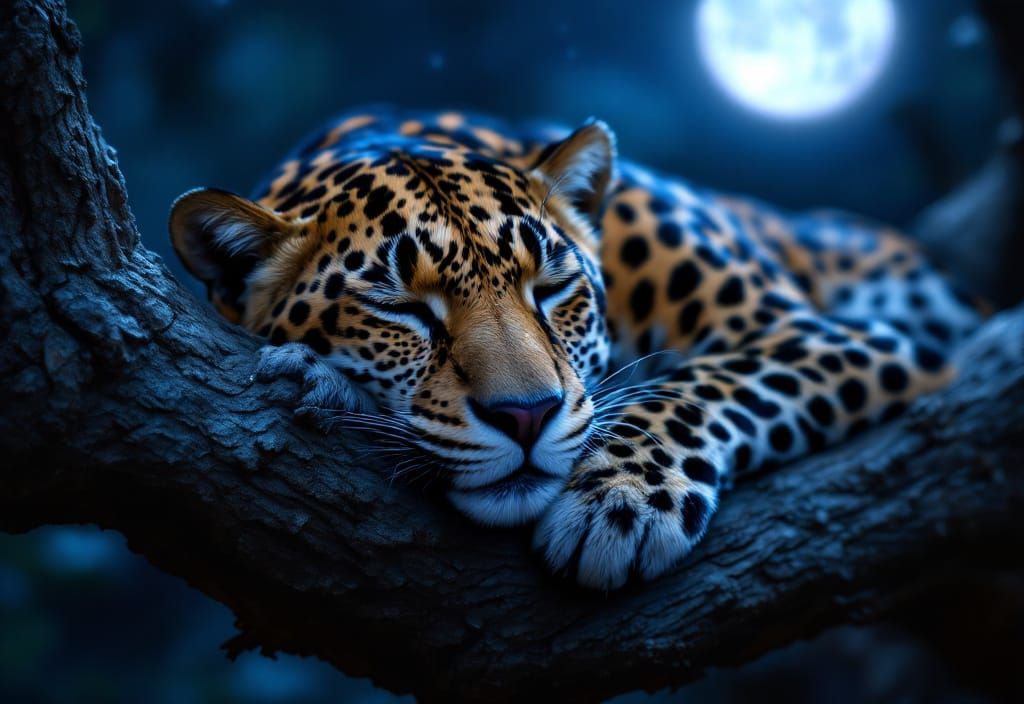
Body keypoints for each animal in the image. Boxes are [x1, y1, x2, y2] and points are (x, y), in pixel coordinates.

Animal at [170, 107, 982, 590]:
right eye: (399, 309)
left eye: (552, 288)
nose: (526, 415)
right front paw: (316, 382)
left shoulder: (806, 332)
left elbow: (697, 387)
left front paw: (617, 504)